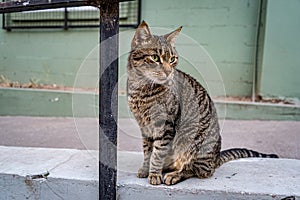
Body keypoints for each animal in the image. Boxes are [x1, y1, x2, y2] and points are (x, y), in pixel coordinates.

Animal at [126, 21, 276, 185]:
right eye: (154, 57)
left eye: (172, 59)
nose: (168, 71)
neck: (141, 89)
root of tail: (215, 158)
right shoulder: (145, 128)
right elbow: (148, 151)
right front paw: (145, 169)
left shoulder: (164, 126)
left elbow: (158, 153)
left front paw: (154, 173)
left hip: (190, 141)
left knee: (196, 170)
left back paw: (174, 175)